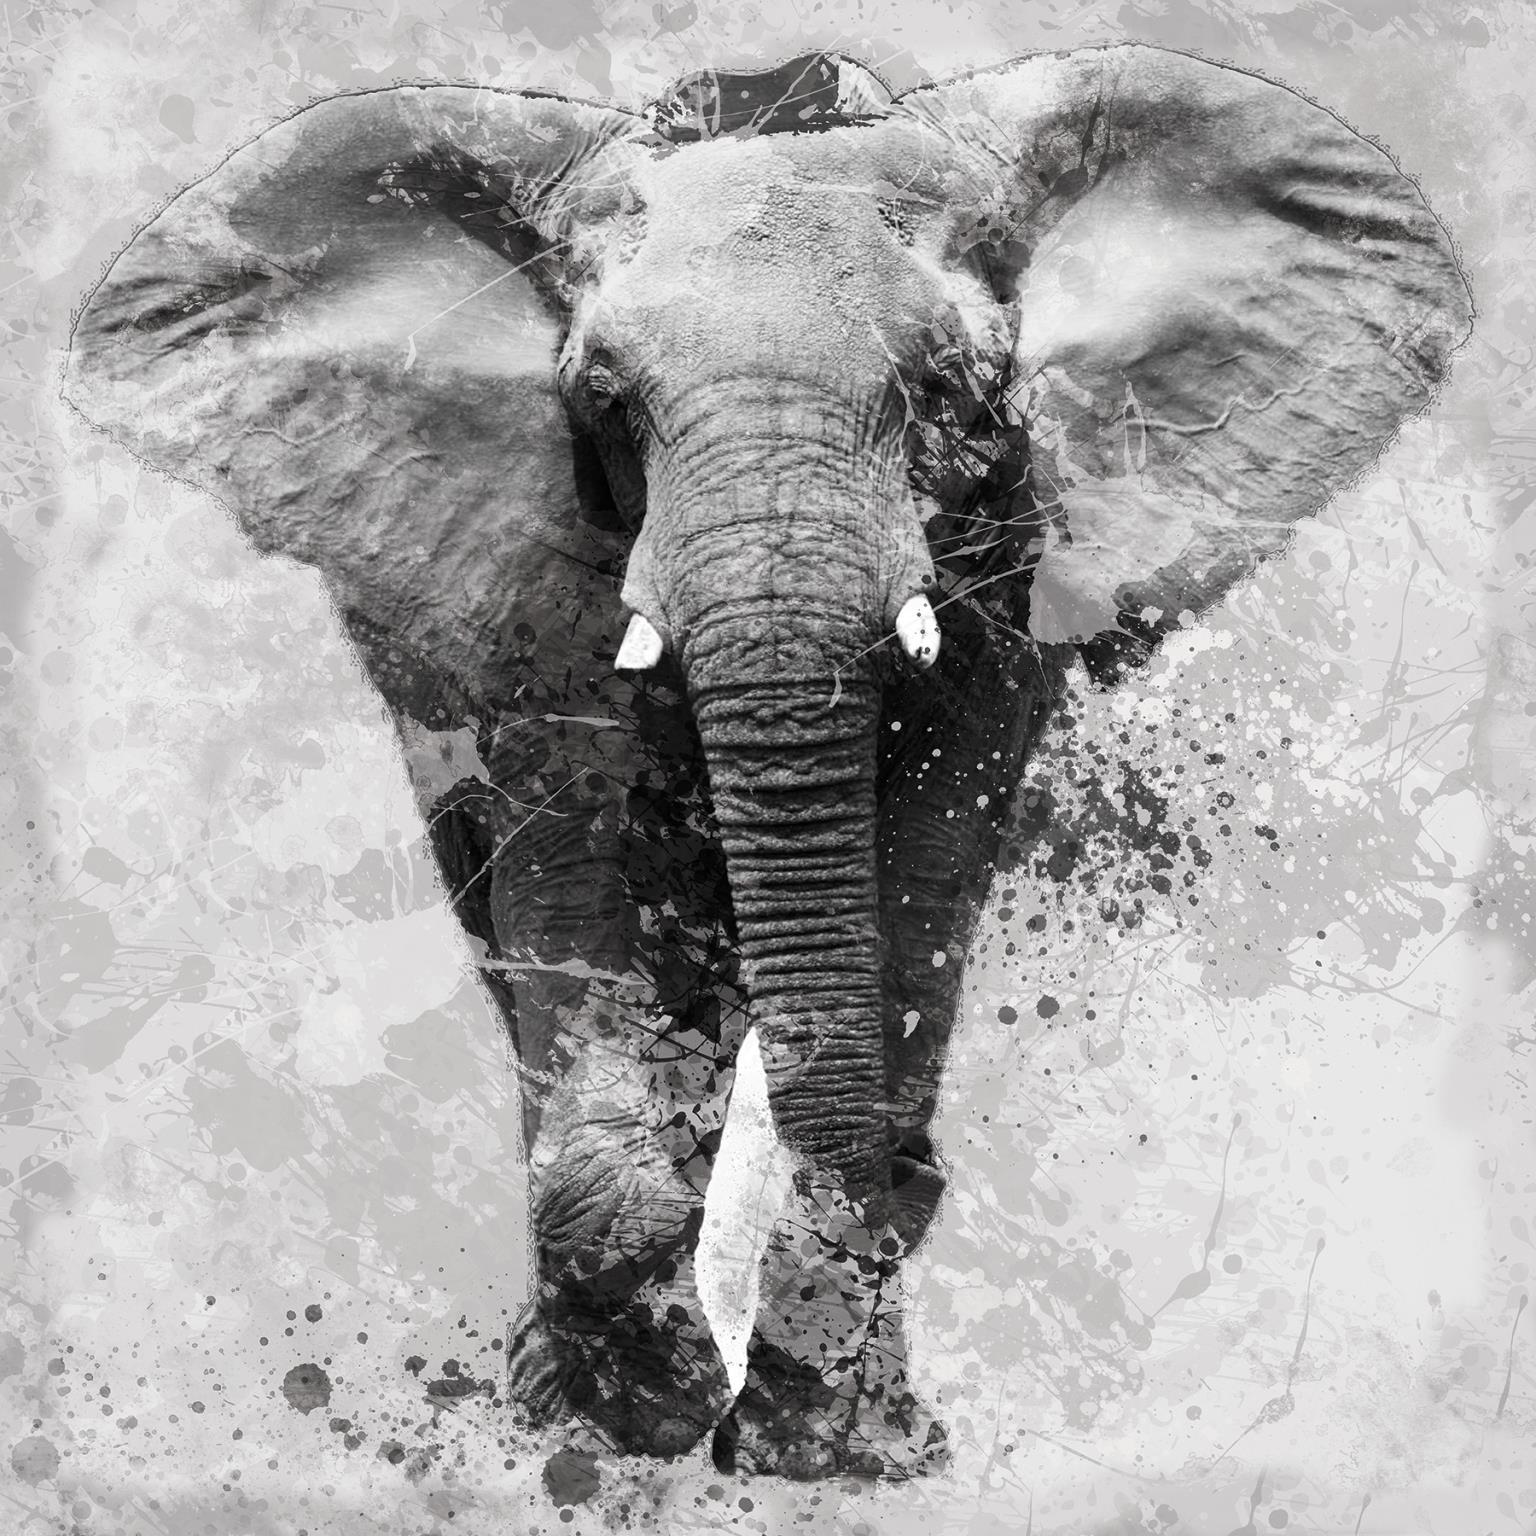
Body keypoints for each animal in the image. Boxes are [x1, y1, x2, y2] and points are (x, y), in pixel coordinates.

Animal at [63, 46, 1470, 1479]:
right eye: (603, 400)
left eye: (953, 390)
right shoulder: (536, 553)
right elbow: (572, 856)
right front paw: (618, 1413)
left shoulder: (1015, 541)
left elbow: (924, 860)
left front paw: (832, 1442)